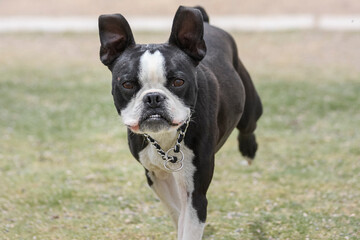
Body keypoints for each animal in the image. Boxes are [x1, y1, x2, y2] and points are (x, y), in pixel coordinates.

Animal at [98, 5, 262, 238]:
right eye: (127, 84)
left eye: (178, 82)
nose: (153, 97)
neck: (166, 138)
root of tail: (207, 23)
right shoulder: (156, 176)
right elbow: (177, 212)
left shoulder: (196, 193)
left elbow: (188, 221)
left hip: (250, 106)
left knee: (249, 126)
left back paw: (248, 150)